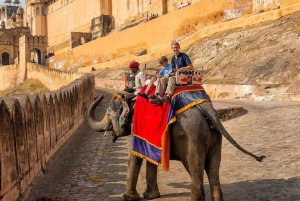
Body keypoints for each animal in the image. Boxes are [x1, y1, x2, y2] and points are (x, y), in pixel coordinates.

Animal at [87, 94, 264, 201]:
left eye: (108, 114)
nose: (98, 96)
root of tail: (208, 110)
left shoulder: (136, 127)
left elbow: (135, 157)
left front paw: (128, 197)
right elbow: (150, 158)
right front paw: (151, 195)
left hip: (191, 138)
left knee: (195, 170)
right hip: (214, 138)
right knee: (214, 171)